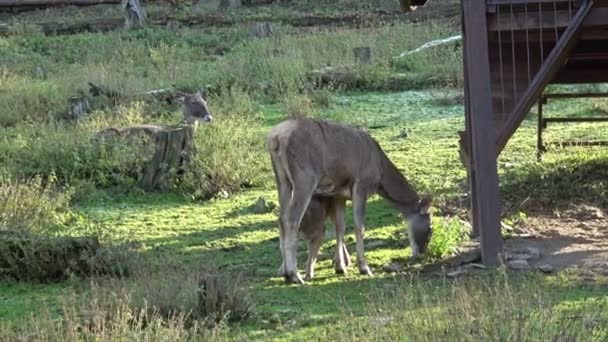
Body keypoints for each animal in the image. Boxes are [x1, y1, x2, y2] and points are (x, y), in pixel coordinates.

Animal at [268, 117, 432, 284]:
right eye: (429, 227)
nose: (421, 252)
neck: (380, 176)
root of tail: (276, 138)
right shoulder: (361, 185)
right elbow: (359, 226)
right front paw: (364, 268)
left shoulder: (339, 194)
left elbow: (341, 226)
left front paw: (340, 266)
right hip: (305, 177)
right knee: (291, 220)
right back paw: (294, 275)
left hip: (282, 180)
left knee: (281, 218)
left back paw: (286, 273)